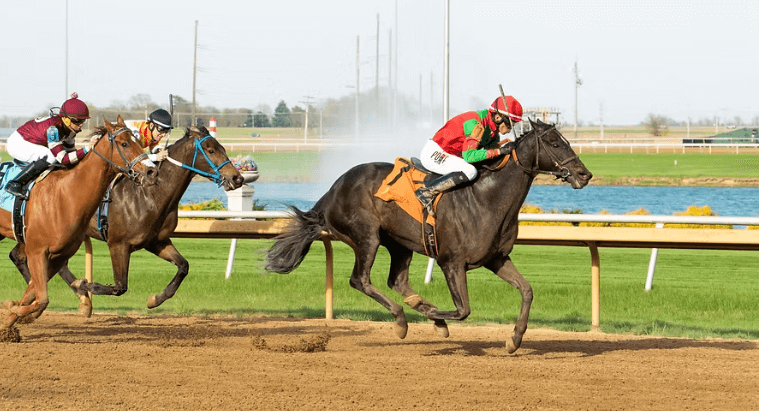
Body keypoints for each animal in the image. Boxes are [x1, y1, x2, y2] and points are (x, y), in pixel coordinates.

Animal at [0, 115, 155, 328]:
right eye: (124, 143)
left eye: (139, 141)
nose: (151, 171)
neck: (67, 195)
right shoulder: (36, 251)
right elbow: (41, 298)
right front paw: (12, 308)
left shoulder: (59, 255)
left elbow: (32, 296)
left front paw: (10, 317)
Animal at [9, 126, 245, 316]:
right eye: (211, 150)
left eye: (223, 147)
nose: (238, 178)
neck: (149, 195)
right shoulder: (118, 244)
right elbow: (120, 286)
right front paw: (86, 285)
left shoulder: (156, 241)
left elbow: (183, 266)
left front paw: (155, 299)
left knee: (22, 257)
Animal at [265, 119, 592, 353]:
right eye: (554, 143)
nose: (584, 174)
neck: (486, 198)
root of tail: (332, 190)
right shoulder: (452, 262)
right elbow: (463, 310)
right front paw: (436, 319)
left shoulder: (497, 259)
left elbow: (527, 291)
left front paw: (514, 339)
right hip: (367, 237)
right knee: (360, 280)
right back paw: (402, 320)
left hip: (400, 244)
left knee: (396, 280)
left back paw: (418, 308)